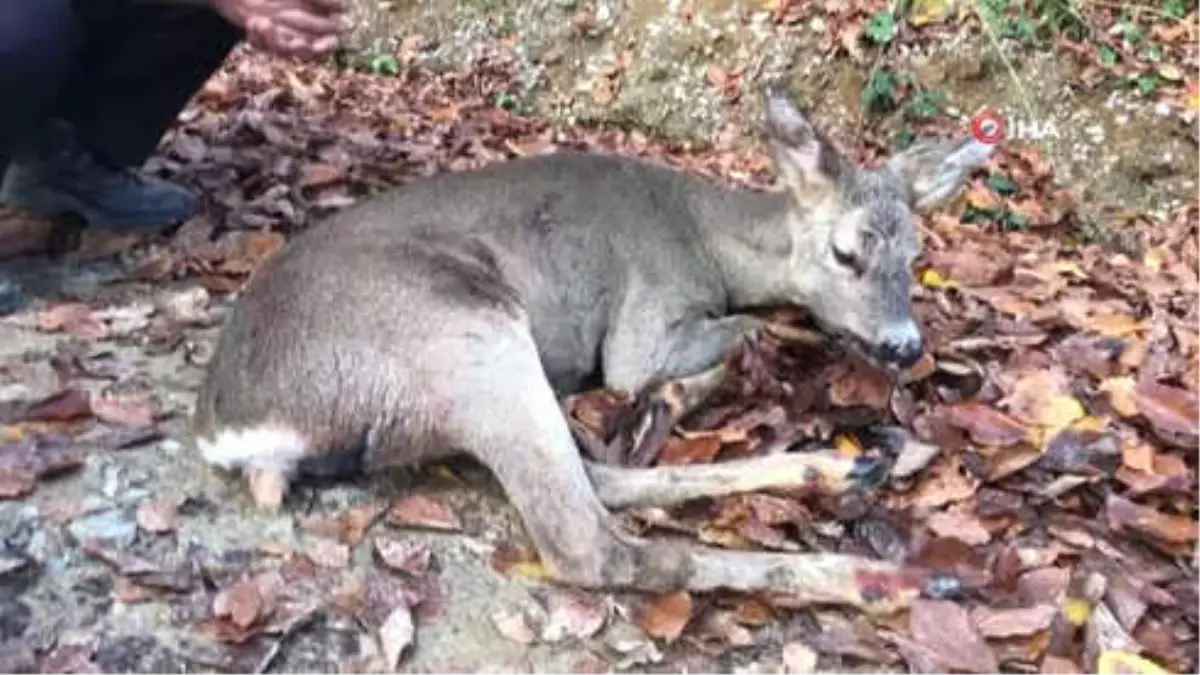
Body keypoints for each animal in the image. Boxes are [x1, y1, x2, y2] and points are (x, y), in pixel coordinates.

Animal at [194, 84, 993, 610]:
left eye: (917, 254)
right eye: (845, 252)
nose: (904, 344)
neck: (712, 243)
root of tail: (234, 430)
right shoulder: (644, 322)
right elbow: (737, 333)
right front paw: (693, 382)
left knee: (596, 480)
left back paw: (840, 466)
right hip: (465, 329)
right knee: (591, 542)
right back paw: (889, 576)